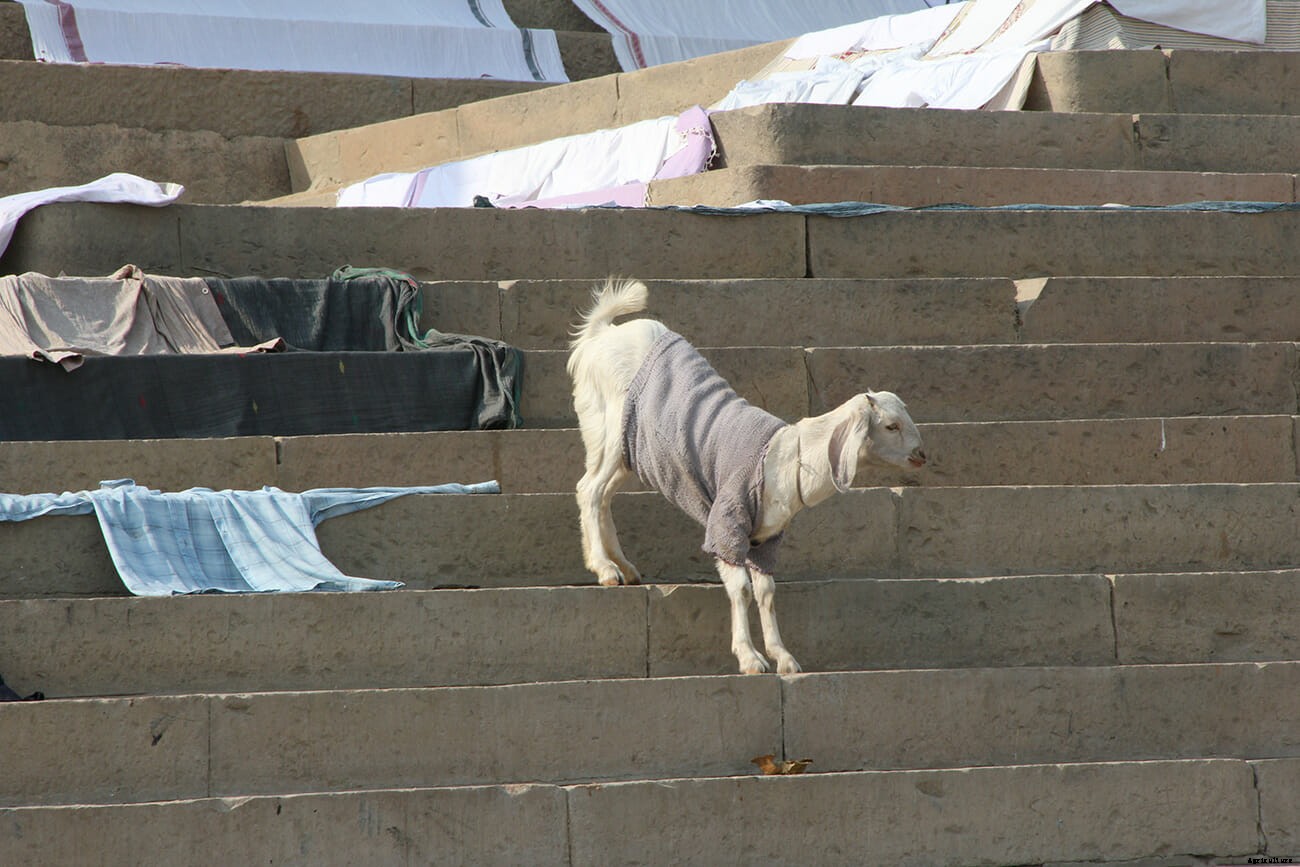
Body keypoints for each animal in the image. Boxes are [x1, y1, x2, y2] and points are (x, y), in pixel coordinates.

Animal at [567, 278, 926, 674]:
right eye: (891, 426)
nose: (922, 455)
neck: (787, 456)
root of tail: (601, 333)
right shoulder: (727, 522)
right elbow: (740, 588)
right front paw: (750, 657)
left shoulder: (765, 538)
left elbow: (766, 592)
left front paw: (783, 657)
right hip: (608, 426)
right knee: (589, 489)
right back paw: (603, 568)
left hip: (629, 452)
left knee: (604, 494)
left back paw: (624, 567)